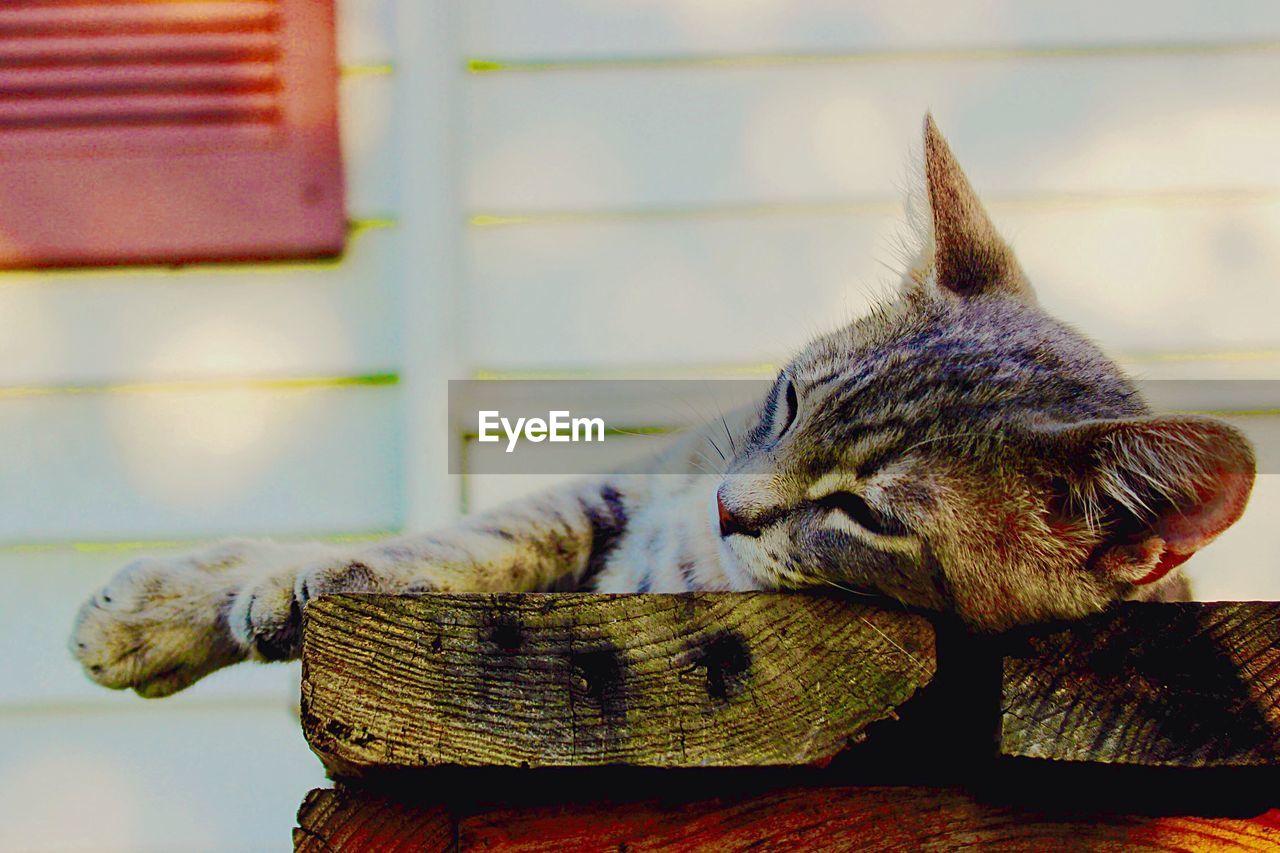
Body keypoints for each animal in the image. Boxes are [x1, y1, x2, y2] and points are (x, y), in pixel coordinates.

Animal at [67, 116, 1249, 696]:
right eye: (789, 399)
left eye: (867, 512)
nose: (732, 507)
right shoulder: (635, 480)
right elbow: (467, 542)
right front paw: (192, 608)